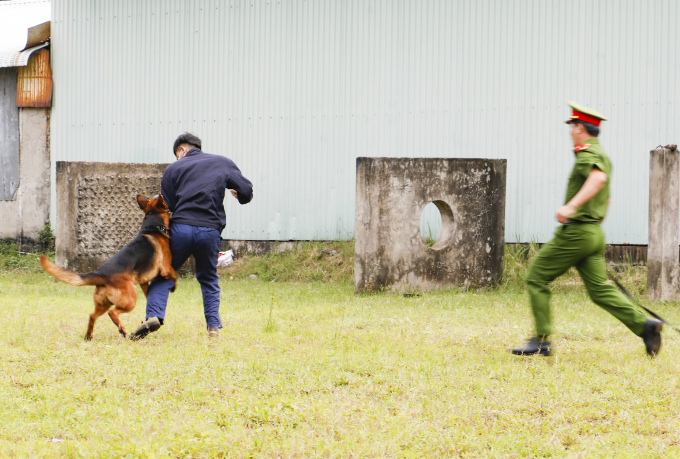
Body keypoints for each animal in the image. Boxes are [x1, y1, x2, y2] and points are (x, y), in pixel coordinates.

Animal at [38, 194, 178, 342]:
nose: (159, 195)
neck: (153, 226)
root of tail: (102, 275)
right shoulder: (165, 269)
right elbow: (174, 274)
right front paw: (174, 286)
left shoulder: (144, 281)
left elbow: (150, 293)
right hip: (129, 300)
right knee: (112, 312)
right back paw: (122, 330)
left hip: (103, 304)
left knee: (92, 315)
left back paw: (89, 336)